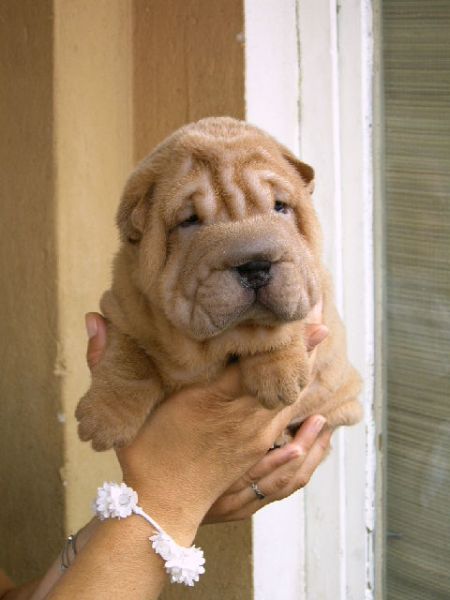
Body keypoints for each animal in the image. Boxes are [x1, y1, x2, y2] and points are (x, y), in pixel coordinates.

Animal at [76, 117, 362, 451]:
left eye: (280, 207)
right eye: (190, 221)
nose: (255, 265)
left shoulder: (311, 282)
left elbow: (280, 326)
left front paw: (279, 375)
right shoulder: (124, 307)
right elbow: (129, 359)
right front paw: (104, 417)